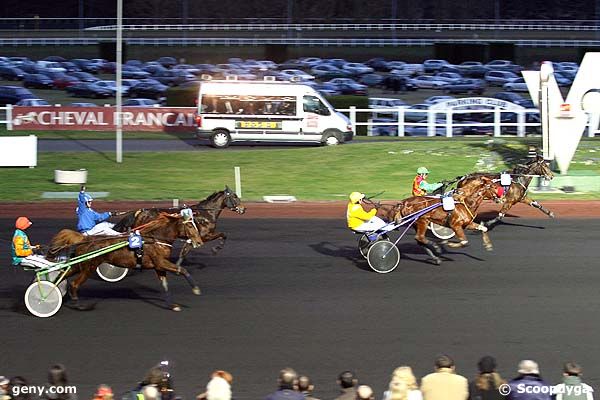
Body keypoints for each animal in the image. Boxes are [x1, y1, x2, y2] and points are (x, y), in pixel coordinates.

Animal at [46, 212, 204, 312]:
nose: (199, 242)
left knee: (62, 275)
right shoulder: (160, 262)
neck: (156, 238)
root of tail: (84, 238)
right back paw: (79, 305)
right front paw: (196, 289)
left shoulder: (158, 267)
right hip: (88, 267)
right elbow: (182, 270)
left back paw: (52, 292)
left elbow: (165, 285)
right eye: (190, 226)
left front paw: (172, 305)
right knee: (74, 284)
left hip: (79, 266)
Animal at [112, 187, 246, 266]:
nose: (243, 209)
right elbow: (223, 235)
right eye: (234, 196)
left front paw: (177, 265)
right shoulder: (205, 235)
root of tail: (140, 211)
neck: (205, 213)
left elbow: (184, 252)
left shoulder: (192, 237)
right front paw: (215, 249)